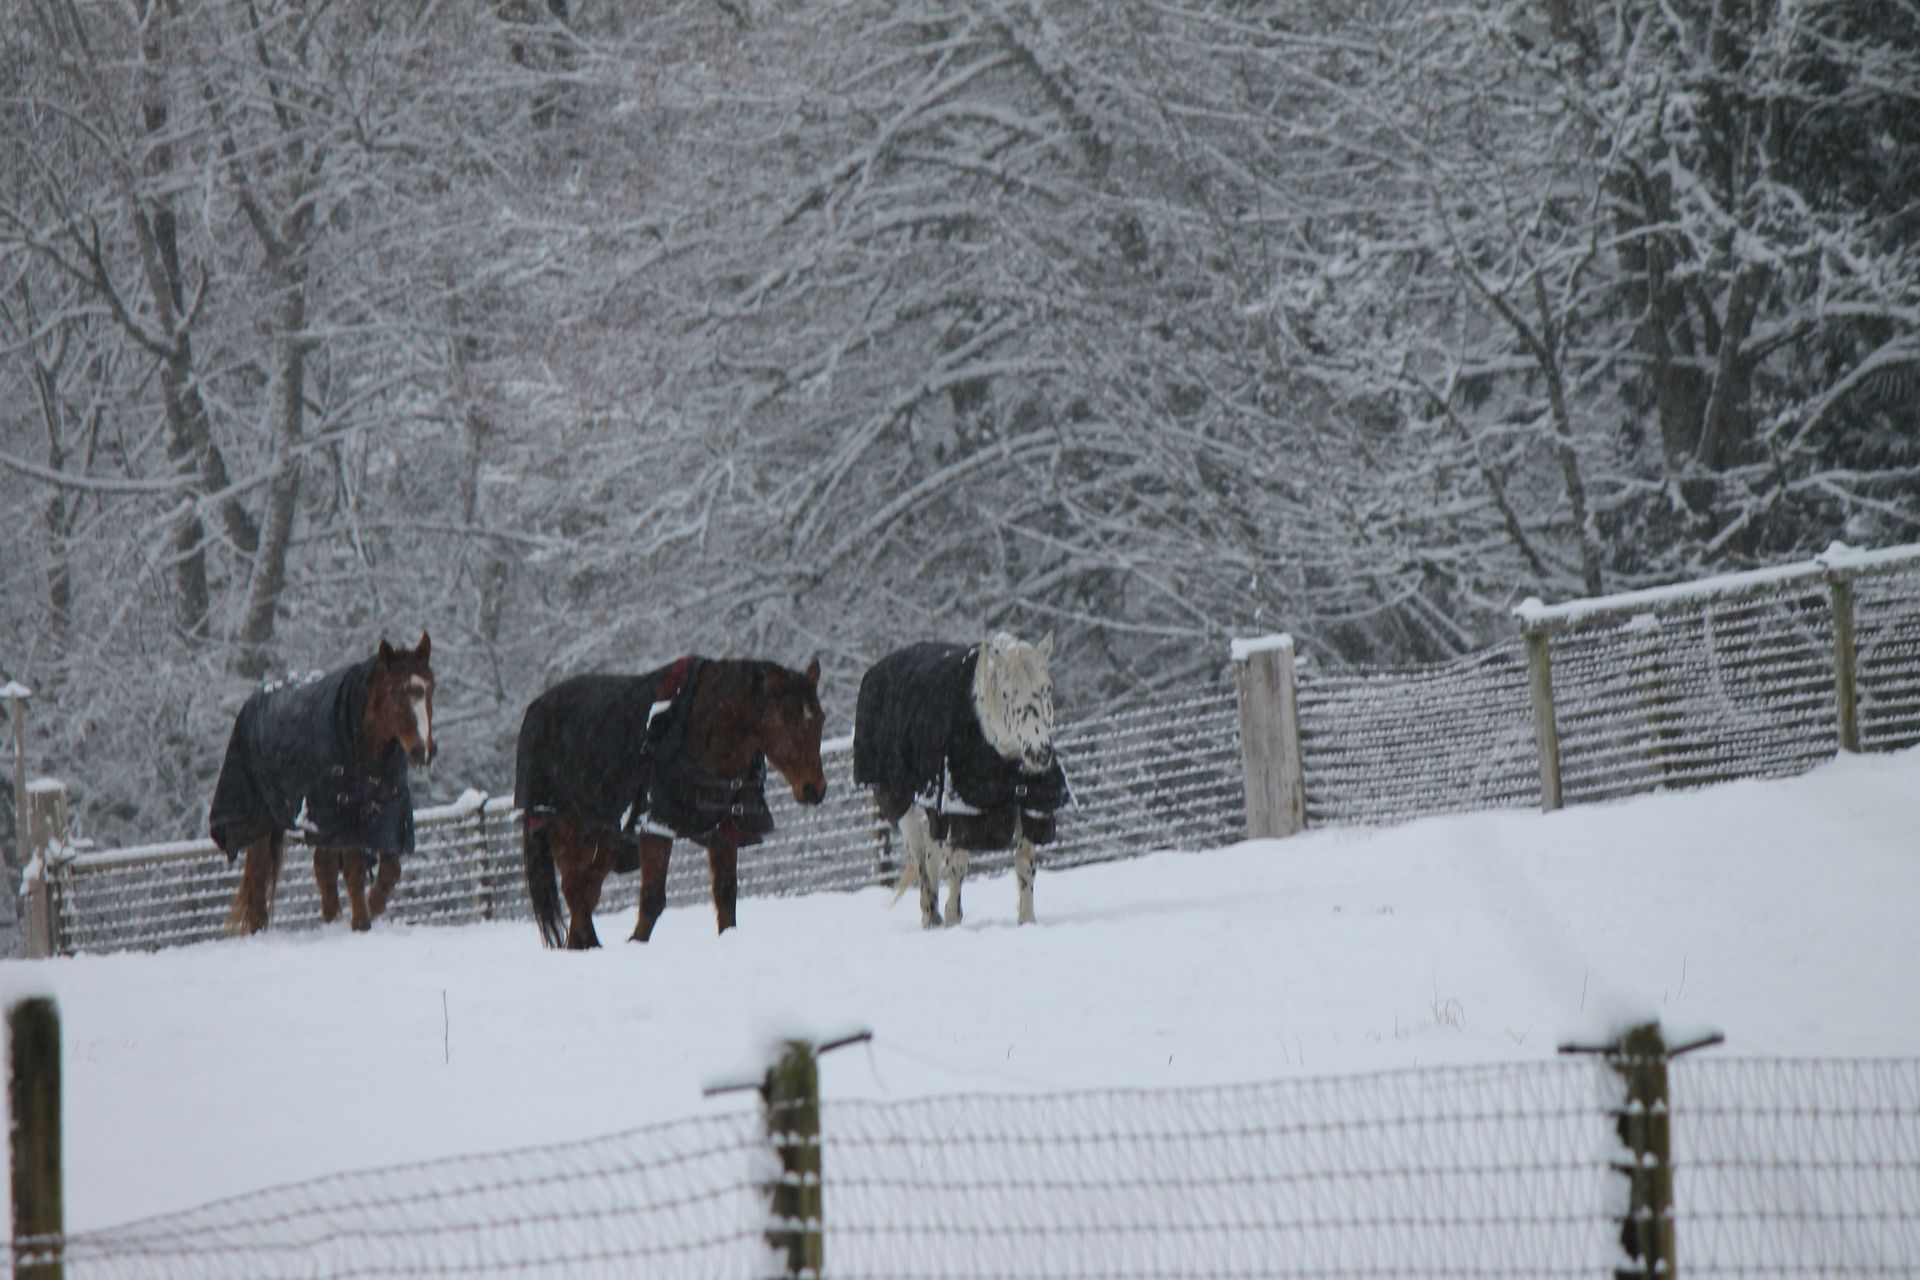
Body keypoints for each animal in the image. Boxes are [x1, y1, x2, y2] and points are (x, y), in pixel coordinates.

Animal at [210, 637, 439, 936]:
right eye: (395, 692)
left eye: (431, 687)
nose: (423, 751)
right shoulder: (344, 821)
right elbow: (354, 872)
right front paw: (361, 924)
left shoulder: (387, 822)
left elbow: (389, 872)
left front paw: (370, 911)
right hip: (259, 823)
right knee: (258, 882)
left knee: (323, 867)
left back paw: (332, 919)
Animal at [518, 656, 825, 948]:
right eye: (786, 720)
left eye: (820, 718)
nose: (815, 789)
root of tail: (534, 709)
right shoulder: (655, 827)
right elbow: (652, 900)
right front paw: (635, 944)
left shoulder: (724, 830)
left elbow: (726, 895)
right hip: (565, 831)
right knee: (578, 896)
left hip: (603, 843)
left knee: (585, 895)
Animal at [852, 633, 1075, 924]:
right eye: (1006, 693)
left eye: (1047, 688)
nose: (1038, 753)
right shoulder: (960, 811)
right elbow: (957, 865)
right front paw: (953, 919)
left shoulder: (1033, 806)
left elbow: (1026, 864)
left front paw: (1027, 921)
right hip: (897, 801)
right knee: (919, 855)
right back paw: (931, 917)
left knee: (931, 853)